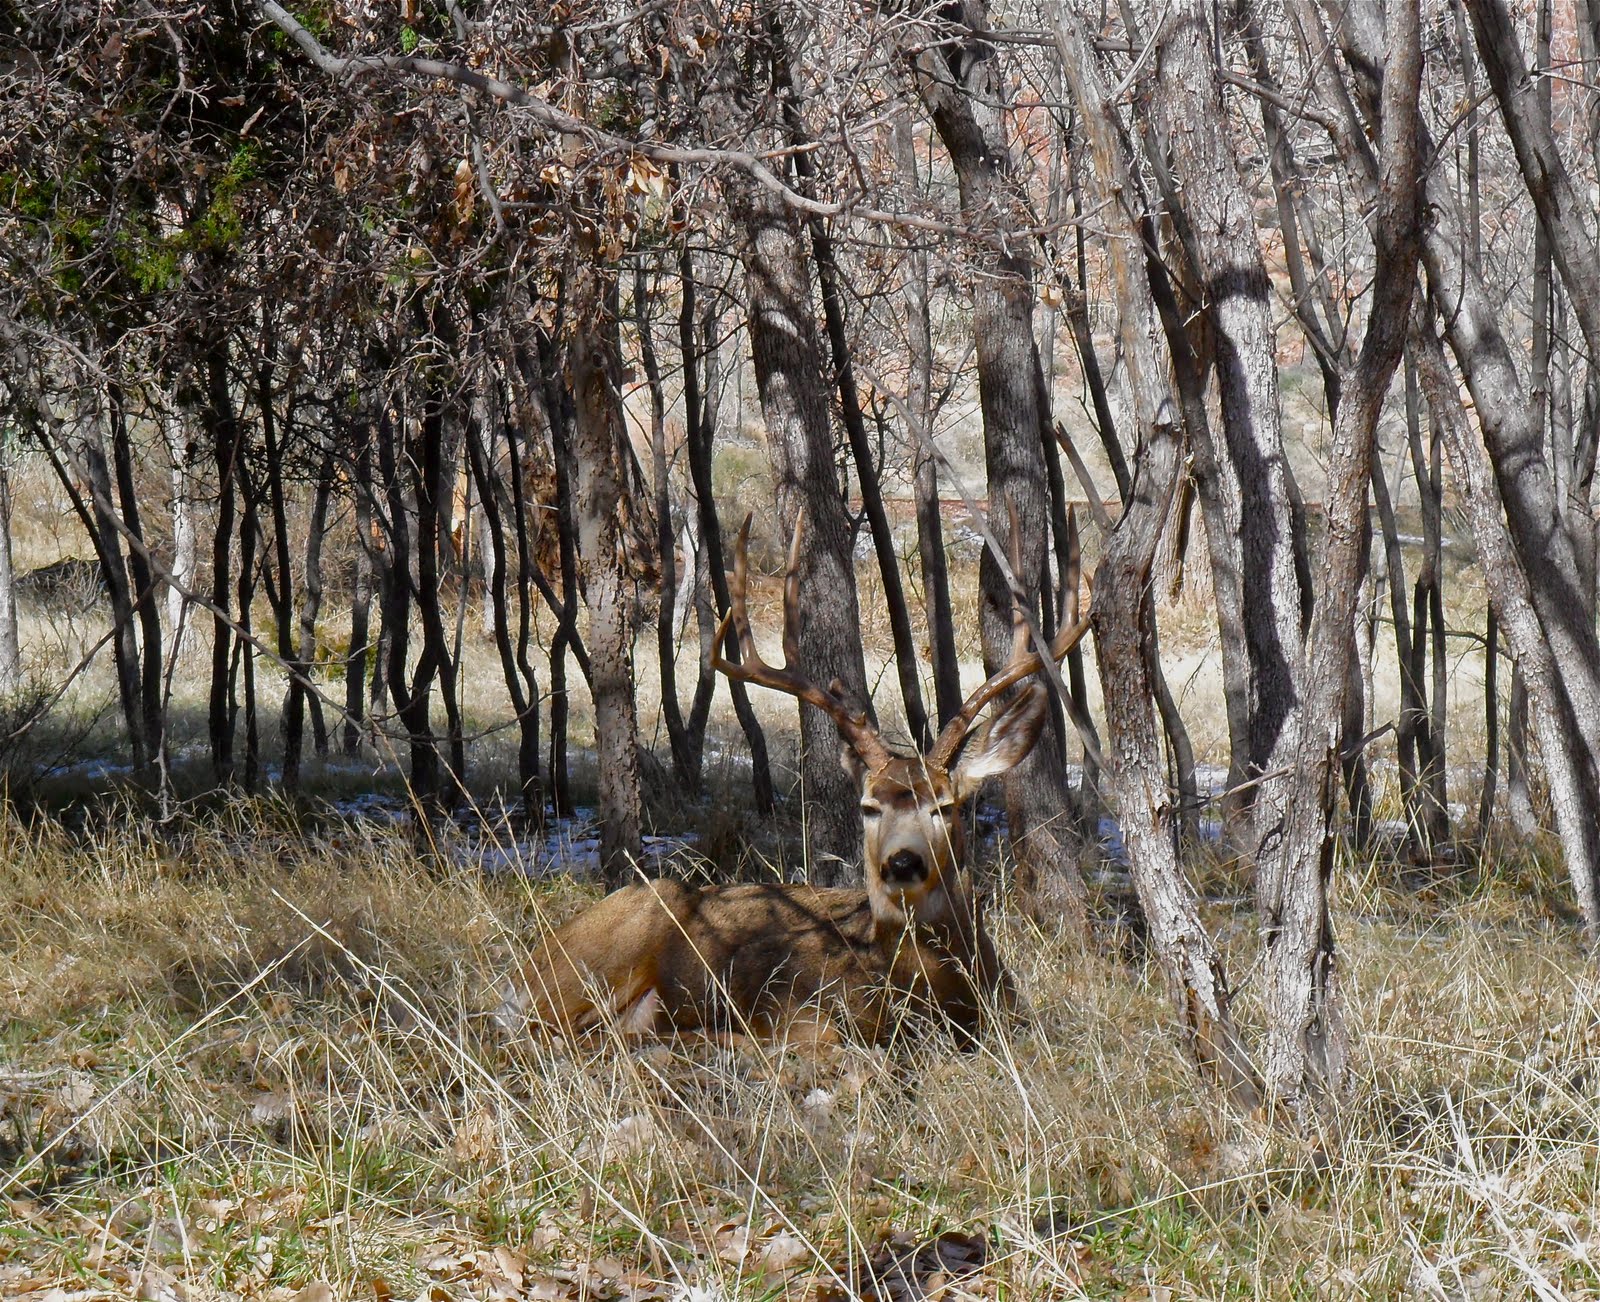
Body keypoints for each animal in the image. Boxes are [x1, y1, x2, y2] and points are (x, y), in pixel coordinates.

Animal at [507, 513, 1088, 1049]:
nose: (901, 863)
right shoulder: (797, 1006)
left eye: (947, 805)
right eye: (868, 806)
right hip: (623, 935)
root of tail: (529, 962)